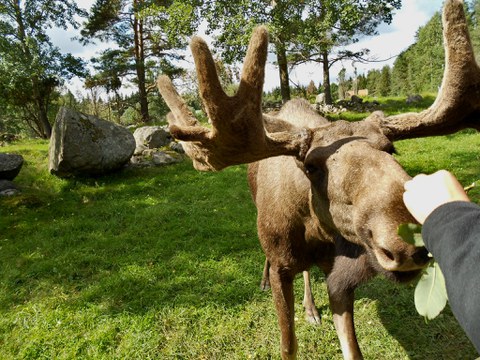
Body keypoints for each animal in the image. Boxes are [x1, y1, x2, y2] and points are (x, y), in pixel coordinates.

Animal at [158, 1, 480, 358]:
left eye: (391, 148)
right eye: (311, 166)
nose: (405, 243)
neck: (312, 228)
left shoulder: (336, 270)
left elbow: (351, 346)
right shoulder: (281, 267)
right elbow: (288, 345)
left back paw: (311, 308)